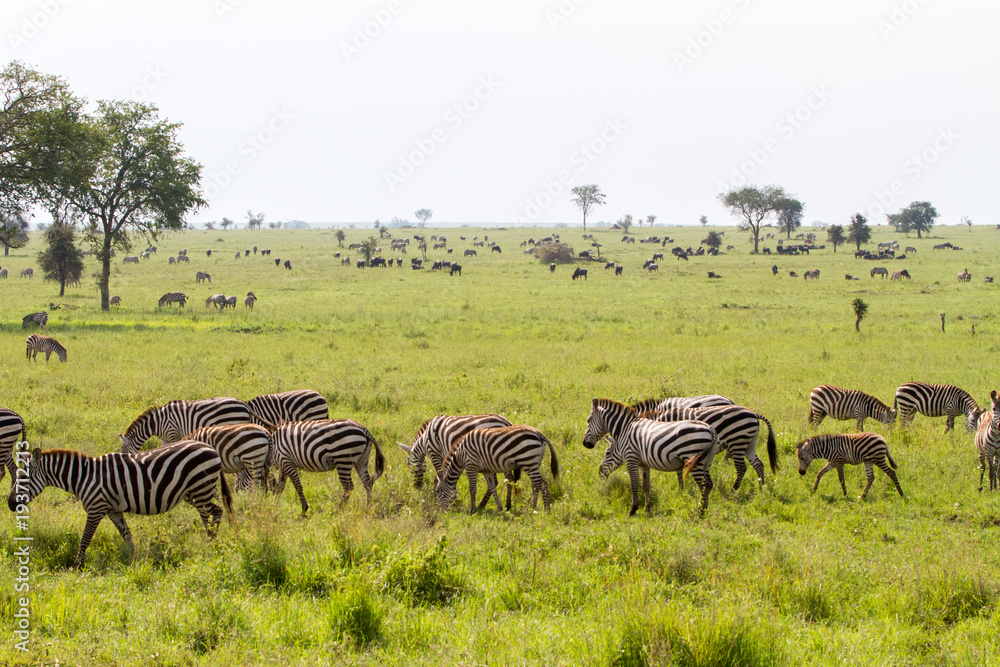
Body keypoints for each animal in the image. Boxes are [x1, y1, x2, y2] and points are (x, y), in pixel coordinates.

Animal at [7, 442, 232, 569]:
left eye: (23, 478)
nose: (9, 504)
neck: (84, 477)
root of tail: (211, 448)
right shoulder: (113, 511)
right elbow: (127, 535)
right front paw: (135, 559)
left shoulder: (95, 509)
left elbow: (85, 539)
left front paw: (76, 566)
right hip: (194, 493)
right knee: (213, 513)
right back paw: (211, 542)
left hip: (201, 488)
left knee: (214, 513)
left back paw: (211, 543)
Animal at [584, 398, 722, 514]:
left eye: (588, 420)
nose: (585, 444)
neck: (625, 429)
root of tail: (711, 430)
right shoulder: (644, 464)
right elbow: (645, 485)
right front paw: (647, 509)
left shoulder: (631, 459)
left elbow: (634, 484)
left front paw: (633, 510)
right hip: (707, 461)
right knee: (709, 484)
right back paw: (704, 510)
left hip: (695, 460)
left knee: (704, 485)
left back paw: (700, 511)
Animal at [643, 404, 778, 490]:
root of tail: (754, 414)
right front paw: (683, 487)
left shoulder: (675, 446)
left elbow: (679, 470)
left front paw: (681, 489)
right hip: (749, 443)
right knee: (758, 464)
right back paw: (761, 487)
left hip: (737, 441)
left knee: (741, 468)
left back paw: (734, 489)